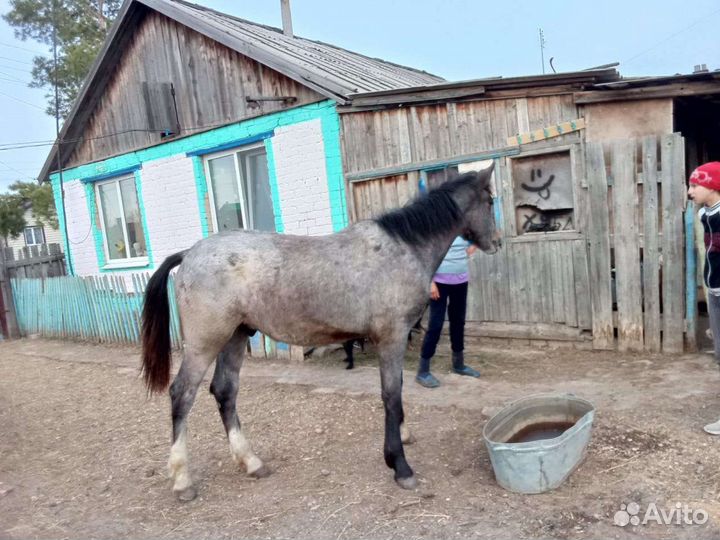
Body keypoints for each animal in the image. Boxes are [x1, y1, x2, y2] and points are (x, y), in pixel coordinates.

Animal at [141, 166, 499, 501]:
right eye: (490, 201)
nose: (496, 242)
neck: (401, 249)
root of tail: (189, 253)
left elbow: (396, 394)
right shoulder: (392, 337)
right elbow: (391, 395)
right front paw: (400, 465)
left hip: (236, 336)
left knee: (225, 392)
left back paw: (251, 461)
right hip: (205, 342)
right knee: (182, 394)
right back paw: (183, 479)